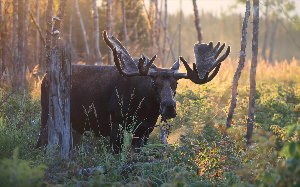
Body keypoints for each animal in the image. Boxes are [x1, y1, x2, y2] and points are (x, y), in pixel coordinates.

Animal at [36, 31, 231, 153]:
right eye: (154, 84)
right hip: (47, 113)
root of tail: (44, 77)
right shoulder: (116, 124)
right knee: (40, 141)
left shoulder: (145, 130)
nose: (169, 107)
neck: (145, 108)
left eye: (176, 84)